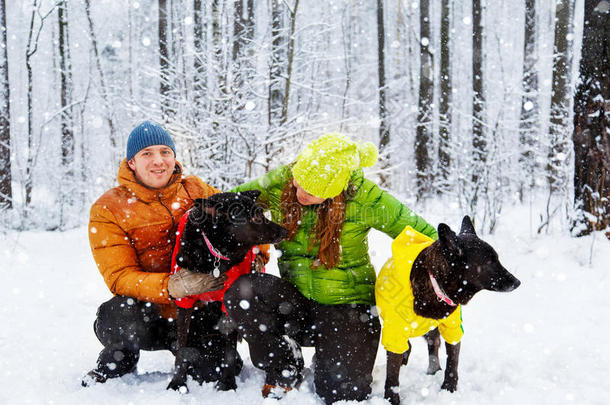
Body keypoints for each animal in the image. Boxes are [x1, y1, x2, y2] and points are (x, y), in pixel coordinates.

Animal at [165, 191, 286, 392]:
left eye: (261, 212)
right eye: (255, 217)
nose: (284, 231)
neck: (213, 253)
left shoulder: (229, 302)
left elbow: (229, 349)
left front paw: (227, 384)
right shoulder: (184, 300)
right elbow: (181, 346)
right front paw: (178, 383)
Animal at [380, 216, 516, 402]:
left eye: (497, 258)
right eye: (489, 261)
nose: (517, 282)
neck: (435, 284)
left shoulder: (452, 328)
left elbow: (452, 361)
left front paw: (449, 389)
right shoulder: (394, 331)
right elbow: (392, 373)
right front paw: (391, 399)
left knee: (432, 346)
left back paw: (433, 370)